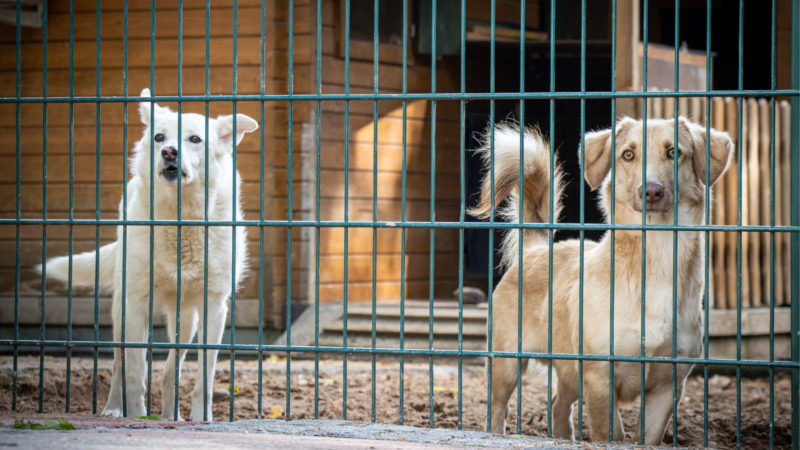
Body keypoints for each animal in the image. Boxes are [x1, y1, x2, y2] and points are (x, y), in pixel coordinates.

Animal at [37, 89, 258, 422]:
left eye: (195, 139)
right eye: (159, 137)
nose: (168, 151)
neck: (181, 221)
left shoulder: (213, 308)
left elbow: (203, 377)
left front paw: (201, 418)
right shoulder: (136, 303)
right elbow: (134, 370)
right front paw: (137, 415)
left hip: (185, 321)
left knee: (170, 372)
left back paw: (170, 416)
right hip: (121, 309)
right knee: (119, 364)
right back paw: (115, 408)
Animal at [468, 118, 732, 444]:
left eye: (674, 152)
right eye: (628, 155)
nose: (651, 192)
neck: (657, 256)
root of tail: (536, 249)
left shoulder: (668, 386)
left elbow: (648, 438)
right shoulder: (599, 377)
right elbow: (611, 433)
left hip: (569, 370)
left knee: (557, 405)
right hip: (506, 365)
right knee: (498, 411)